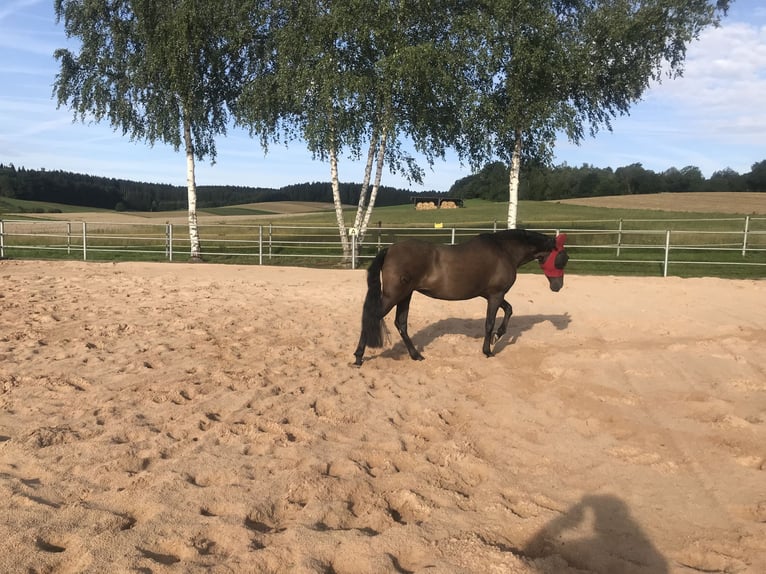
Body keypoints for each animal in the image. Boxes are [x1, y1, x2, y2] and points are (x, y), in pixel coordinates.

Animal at [356, 228, 568, 366]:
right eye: (562, 259)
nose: (558, 287)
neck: (504, 250)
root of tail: (389, 250)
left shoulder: (491, 295)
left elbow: (509, 310)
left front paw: (498, 336)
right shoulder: (496, 295)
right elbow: (489, 323)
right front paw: (488, 350)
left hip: (405, 295)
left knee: (401, 323)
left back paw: (416, 355)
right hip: (395, 295)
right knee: (373, 317)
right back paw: (358, 357)